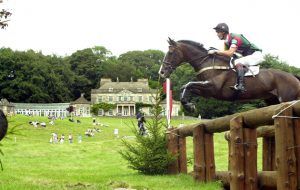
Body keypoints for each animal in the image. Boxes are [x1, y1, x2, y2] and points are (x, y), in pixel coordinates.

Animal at [158, 37, 300, 111]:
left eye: (170, 52)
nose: (162, 72)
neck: (207, 63)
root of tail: (294, 77)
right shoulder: (207, 92)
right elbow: (186, 86)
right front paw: (189, 105)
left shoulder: (212, 87)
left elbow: (188, 84)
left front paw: (189, 106)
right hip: (272, 101)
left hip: (287, 99)